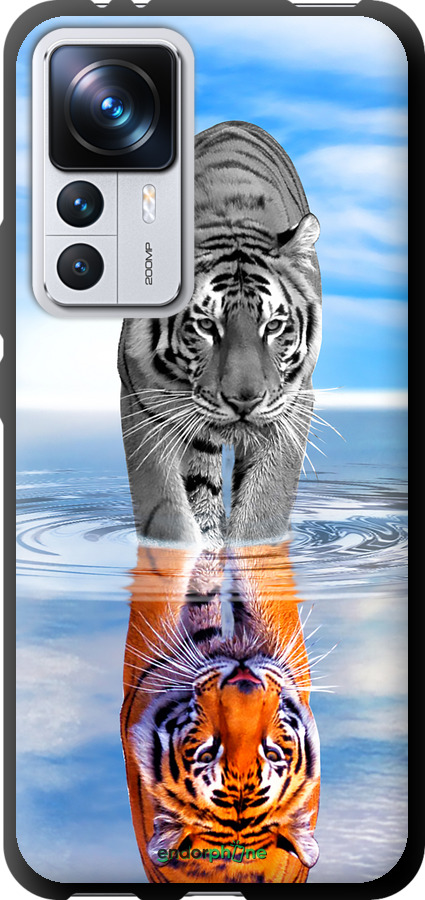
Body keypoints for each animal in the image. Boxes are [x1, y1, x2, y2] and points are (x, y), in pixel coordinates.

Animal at [119, 121, 322, 548]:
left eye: (273, 326)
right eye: (207, 326)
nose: (245, 401)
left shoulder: (293, 405)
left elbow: (263, 510)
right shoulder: (142, 403)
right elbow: (166, 511)